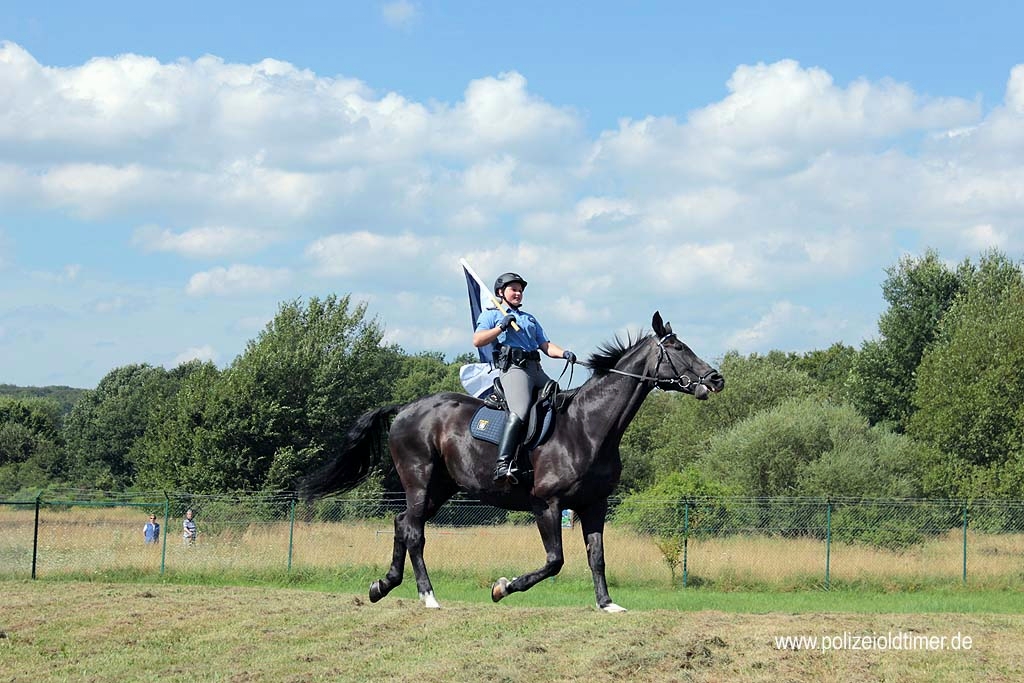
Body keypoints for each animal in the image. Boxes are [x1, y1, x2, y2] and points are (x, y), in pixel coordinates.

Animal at [299, 313, 724, 610]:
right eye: (679, 348)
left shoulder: (594, 504)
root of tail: (405, 408)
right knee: (415, 531)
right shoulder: (547, 504)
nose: (716, 379)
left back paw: (382, 586)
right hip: (418, 479)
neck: (589, 426)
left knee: (402, 523)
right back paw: (428, 595)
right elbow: (554, 561)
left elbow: (597, 557)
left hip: (441, 486)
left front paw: (607, 604)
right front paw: (501, 587)